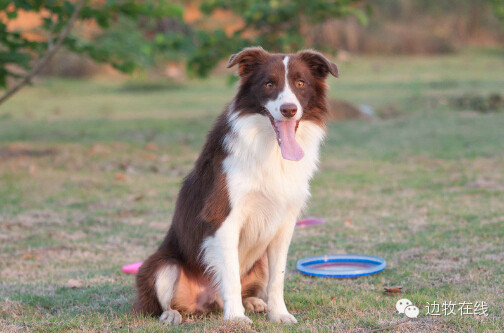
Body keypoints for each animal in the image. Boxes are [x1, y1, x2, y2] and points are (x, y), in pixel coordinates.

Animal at [134, 47, 338, 324]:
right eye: (269, 84)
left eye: (300, 83)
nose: (288, 110)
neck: (271, 149)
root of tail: (208, 301)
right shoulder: (224, 218)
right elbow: (230, 275)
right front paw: (235, 319)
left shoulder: (285, 223)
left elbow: (278, 278)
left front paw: (279, 313)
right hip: (162, 266)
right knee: (164, 299)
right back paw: (172, 315)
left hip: (259, 263)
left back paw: (253, 301)